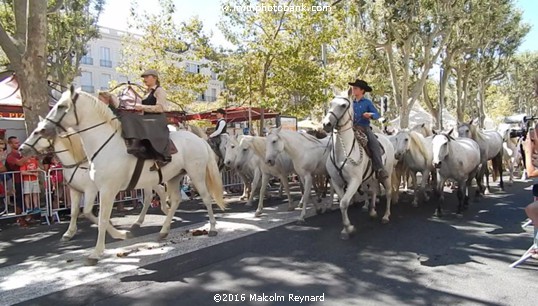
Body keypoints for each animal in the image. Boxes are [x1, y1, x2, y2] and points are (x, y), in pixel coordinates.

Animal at [19, 128, 168, 240]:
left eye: (37, 133)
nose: (21, 149)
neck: (79, 163)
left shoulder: (90, 190)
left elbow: (88, 213)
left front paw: (117, 233)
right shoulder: (75, 190)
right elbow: (74, 211)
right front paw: (69, 233)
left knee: (155, 192)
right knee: (155, 193)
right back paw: (150, 216)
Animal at [320, 96, 396, 239]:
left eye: (343, 105)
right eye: (330, 103)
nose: (326, 124)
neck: (341, 153)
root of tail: (386, 138)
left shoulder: (354, 181)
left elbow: (344, 203)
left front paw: (349, 228)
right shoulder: (336, 182)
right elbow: (342, 203)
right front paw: (346, 229)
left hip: (386, 174)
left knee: (388, 192)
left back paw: (386, 216)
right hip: (370, 177)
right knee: (373, 190)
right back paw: (372, 211)